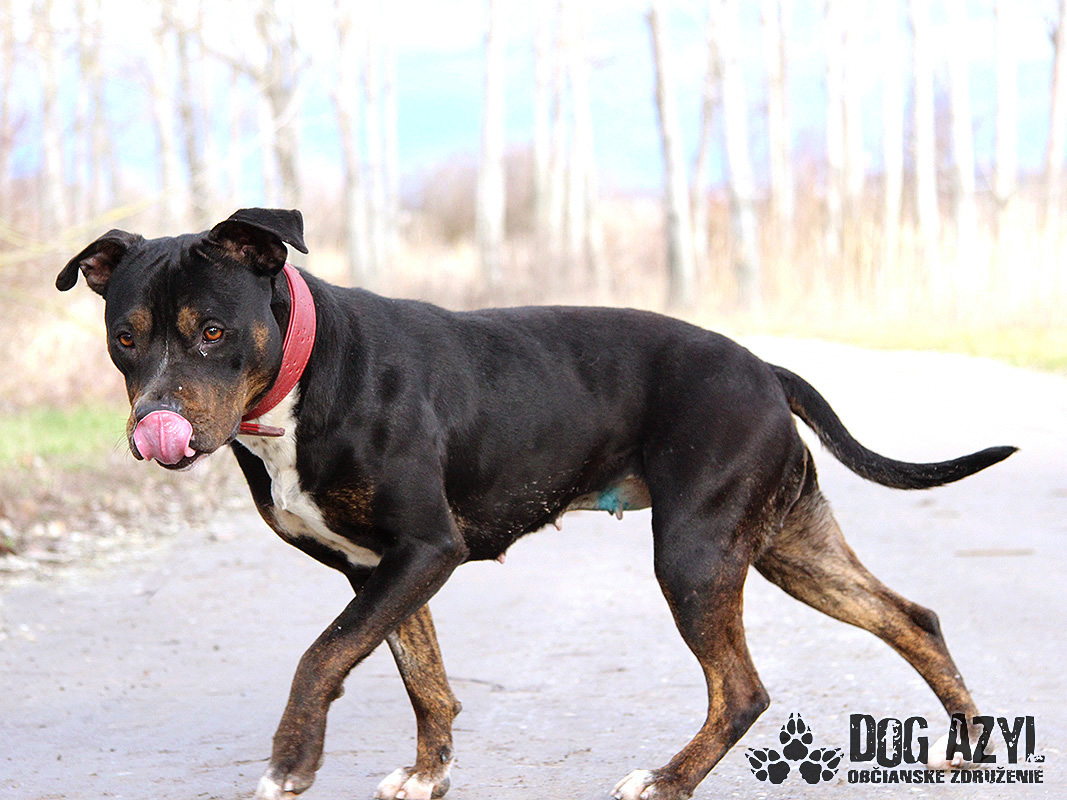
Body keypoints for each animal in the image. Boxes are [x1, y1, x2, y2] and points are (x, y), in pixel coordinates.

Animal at [58, 208, 1015, 800]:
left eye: (213, 332)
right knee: (910, 619)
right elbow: (422, 679)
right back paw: (969, 747)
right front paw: (427, 775)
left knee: (740, 688)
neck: (303, 371)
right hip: (789, 544)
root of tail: (762, 368)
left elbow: (321, 657)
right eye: (124, 340)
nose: (156, 425)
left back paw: (666, 780)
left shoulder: (423, 550)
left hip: (695, 552)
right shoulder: (379, 572)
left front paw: (292, 763)